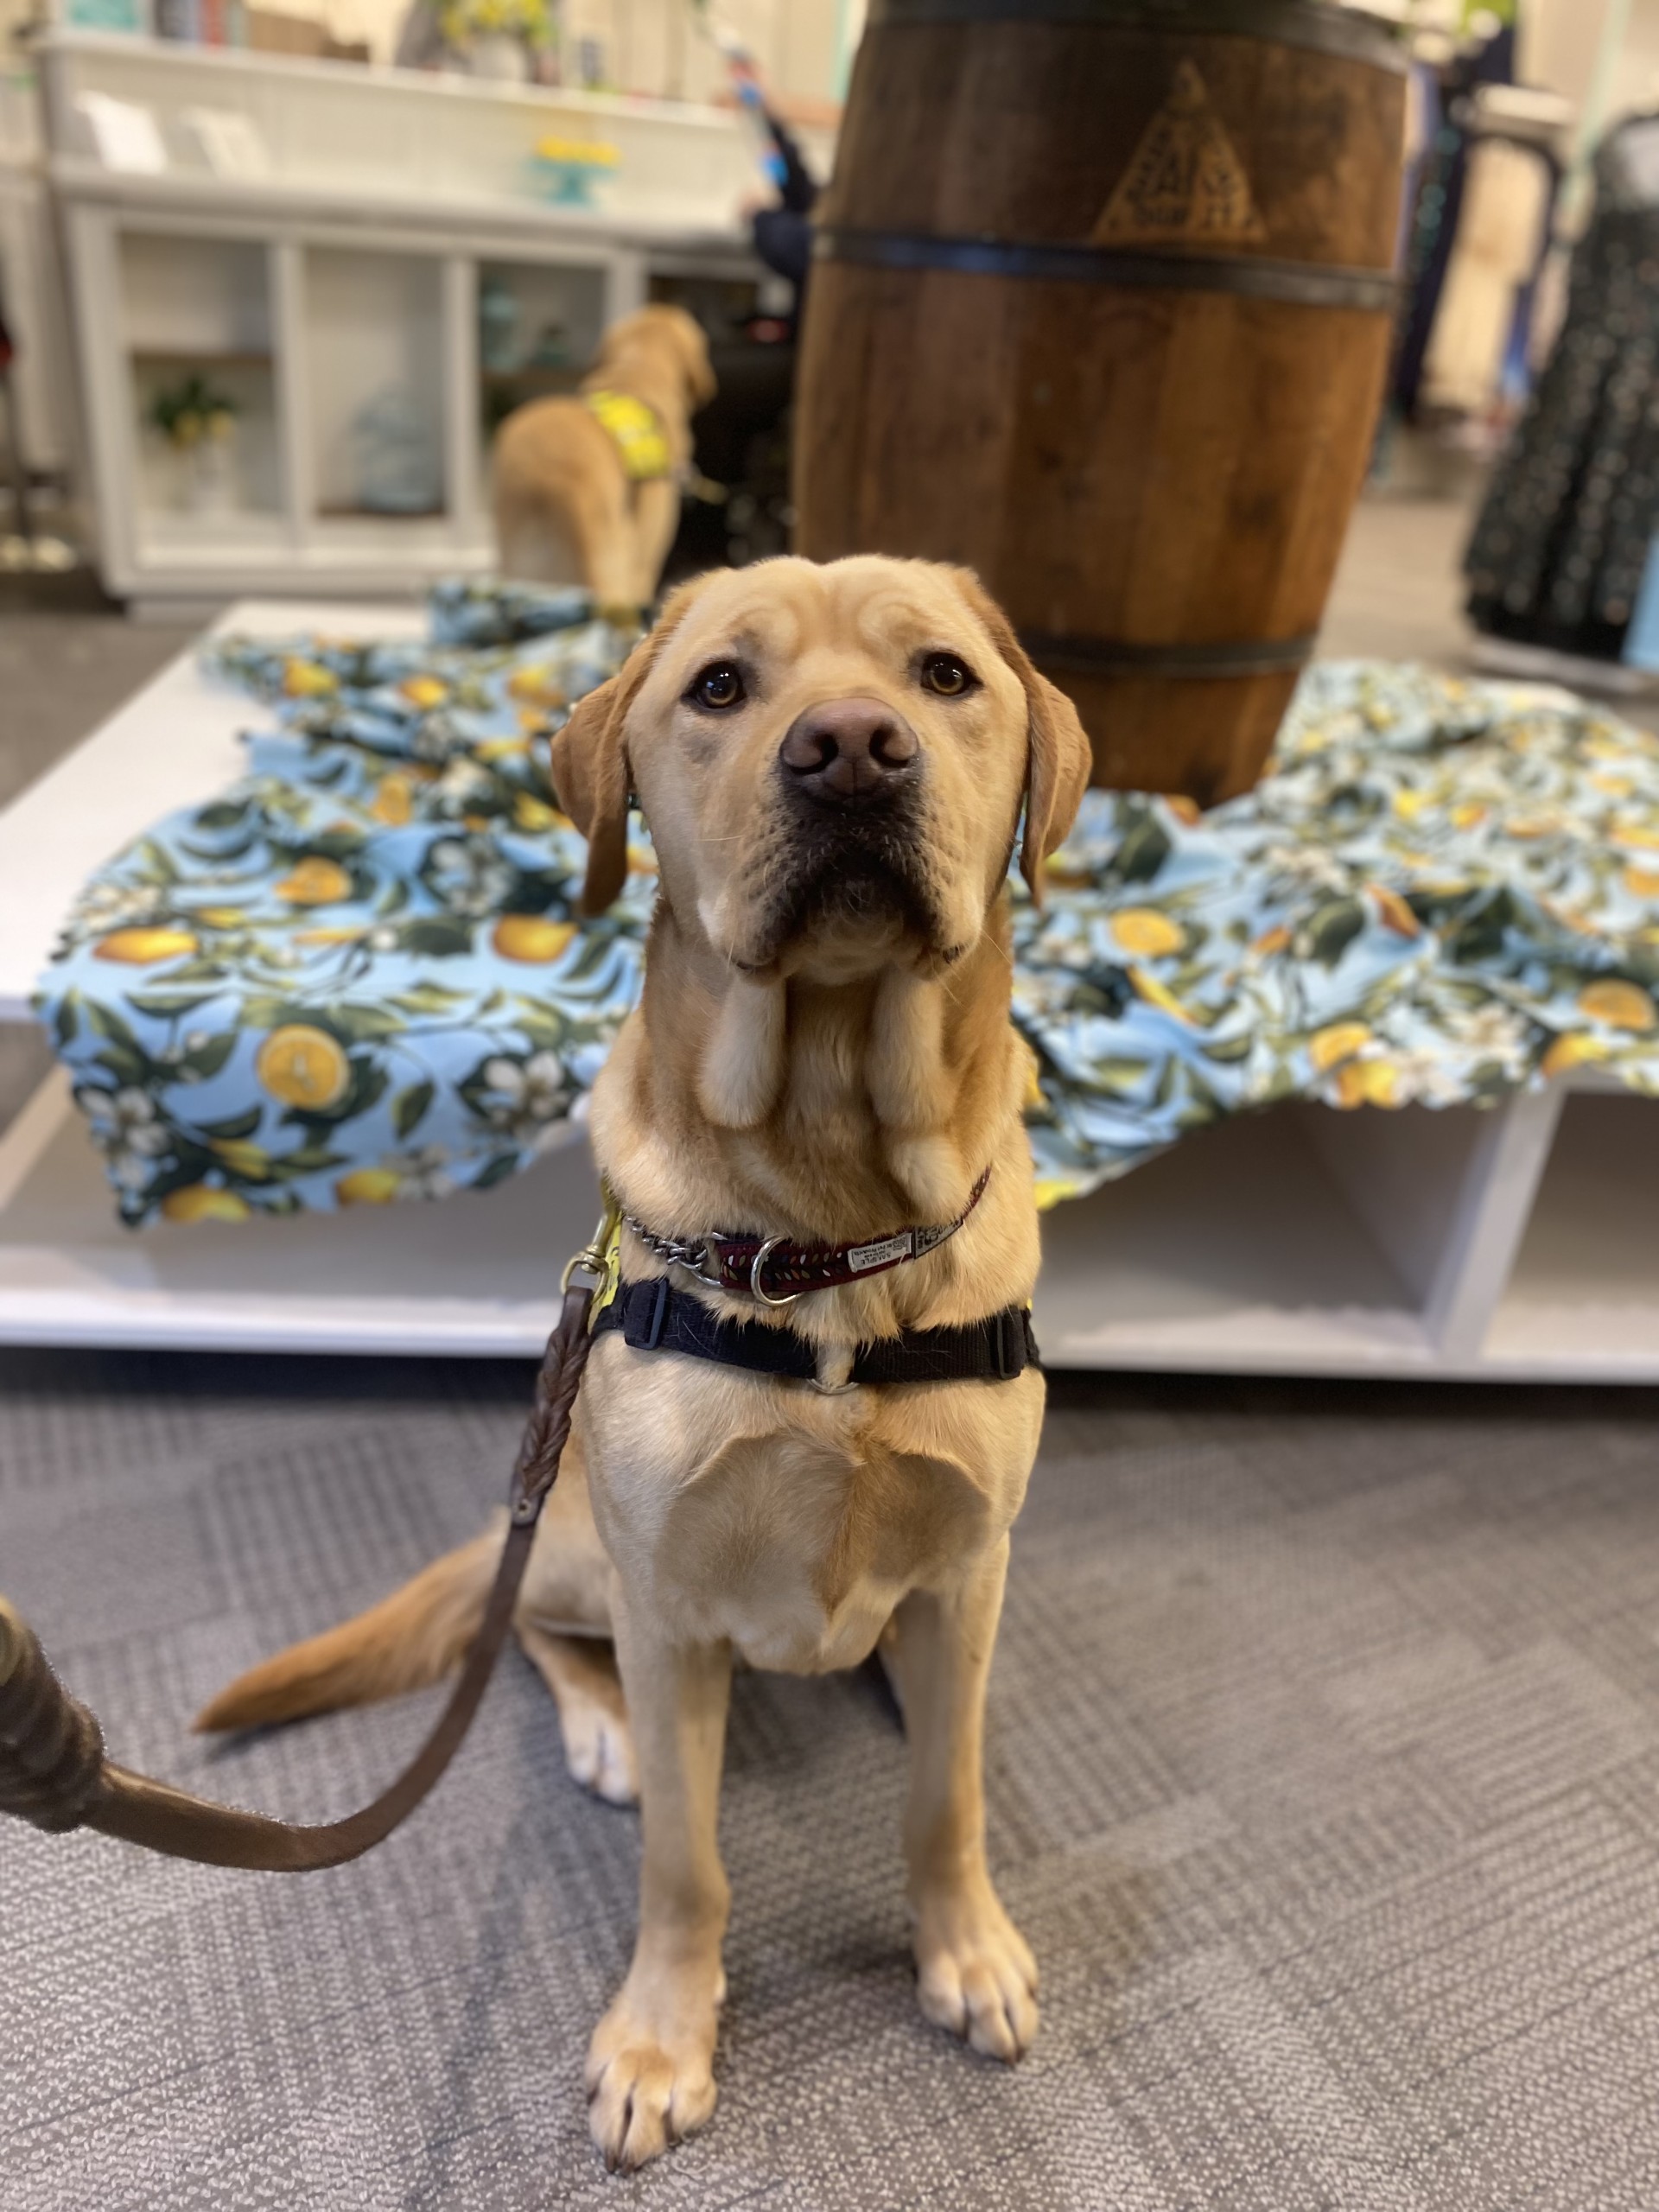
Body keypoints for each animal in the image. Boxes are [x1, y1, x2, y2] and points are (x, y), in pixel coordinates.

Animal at [199, 555, 1092, 2171]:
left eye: (942, 677)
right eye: (721, 688)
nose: (851, 750)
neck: (828, 1217)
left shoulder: (971, 1563)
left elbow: (947, 1800)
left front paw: (966, 1948)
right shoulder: (669, 1603)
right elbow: (688, 1864)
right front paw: (663, 2036)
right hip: (569, 1547)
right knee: (533, 1637)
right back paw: (601, 1729)